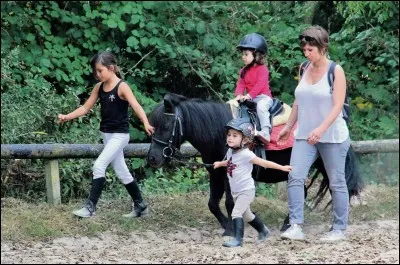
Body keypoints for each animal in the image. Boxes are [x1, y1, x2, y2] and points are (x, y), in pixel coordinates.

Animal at [146, 93, 362, 235]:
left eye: (166, 125)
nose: (152, 159)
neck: (221, 133)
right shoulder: (216, 173)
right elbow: (213, 204)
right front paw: (226, 226)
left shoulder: (229, 175)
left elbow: (229, 202)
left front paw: (232, 228)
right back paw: (288, 224)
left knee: (336, 189)